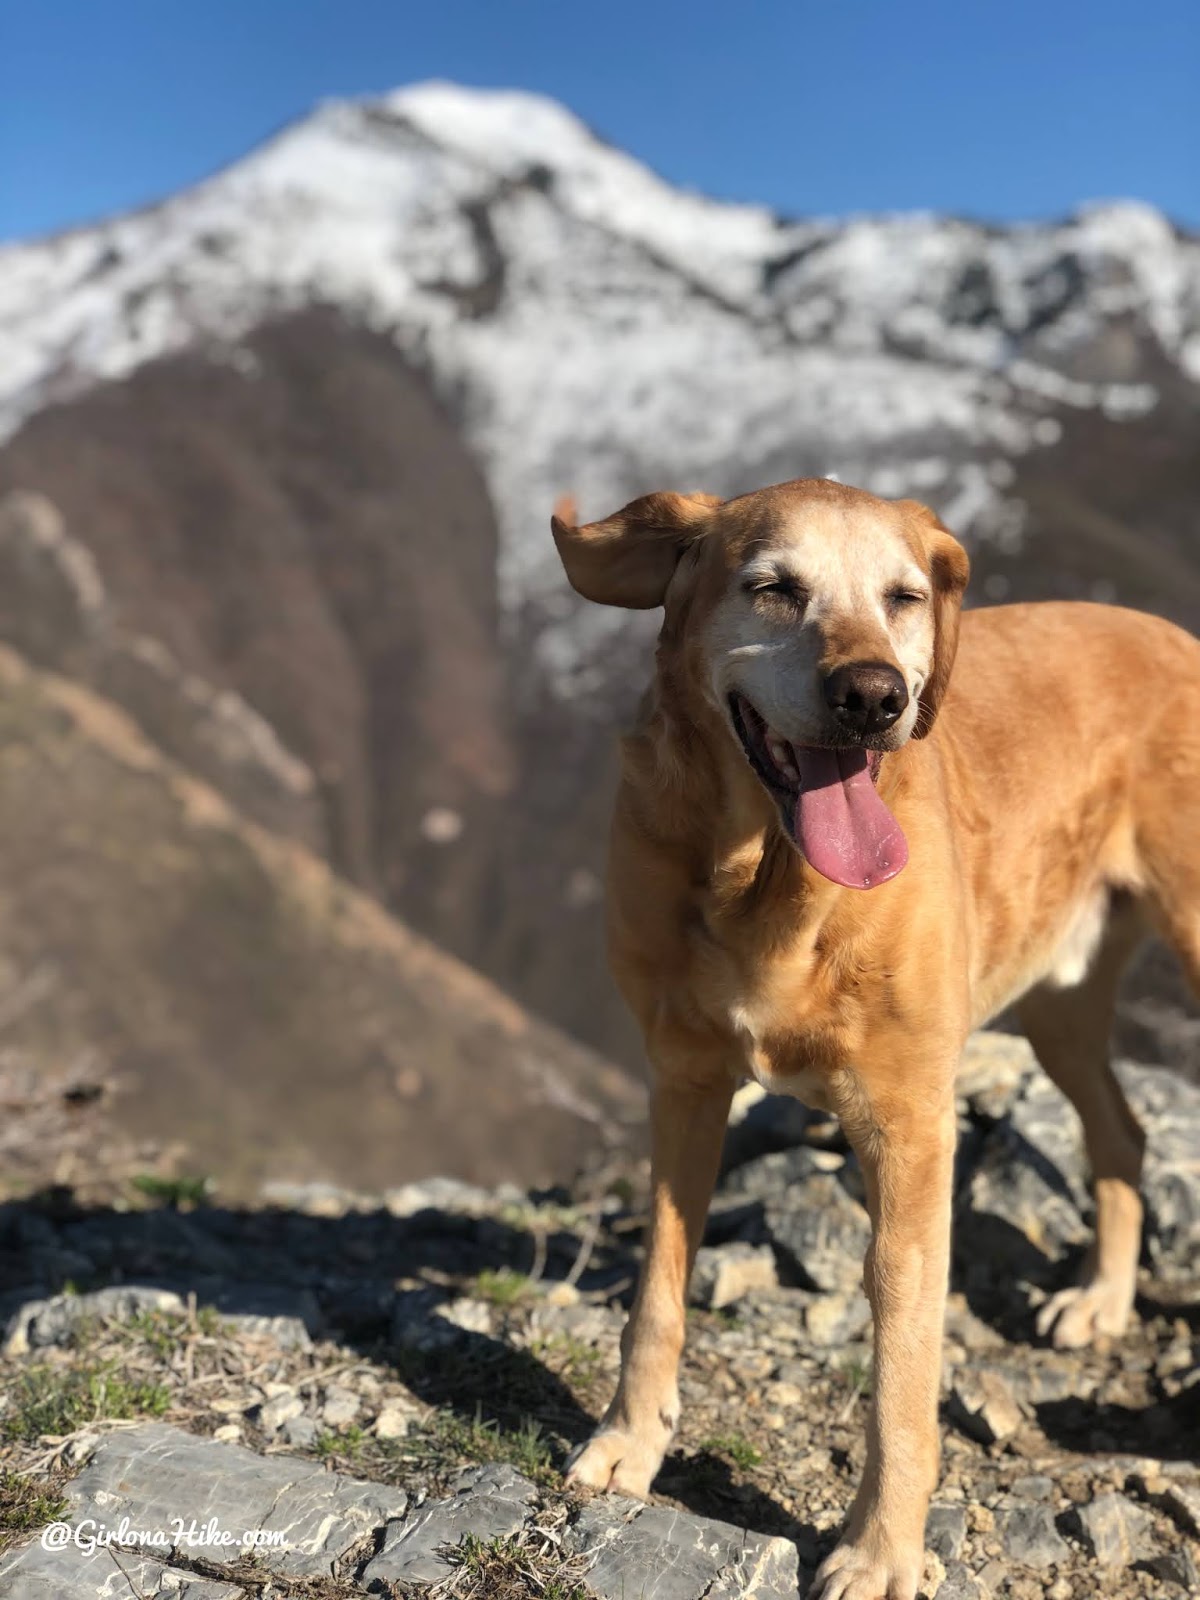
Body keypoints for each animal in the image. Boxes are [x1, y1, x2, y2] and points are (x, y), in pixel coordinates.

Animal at [553, 476, 1200, 1600]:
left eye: (903, 598)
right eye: (773, 587)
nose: (873, 697)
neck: (771, 883)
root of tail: (1174, 633)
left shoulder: (908, 1126)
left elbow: (902, 1359)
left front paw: (881, 1550)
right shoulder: (681, 1081)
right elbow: (658, 1290)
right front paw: (629, 1442)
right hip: (1057, 1001)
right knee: (1121, 1130)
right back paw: (1100, 1299)